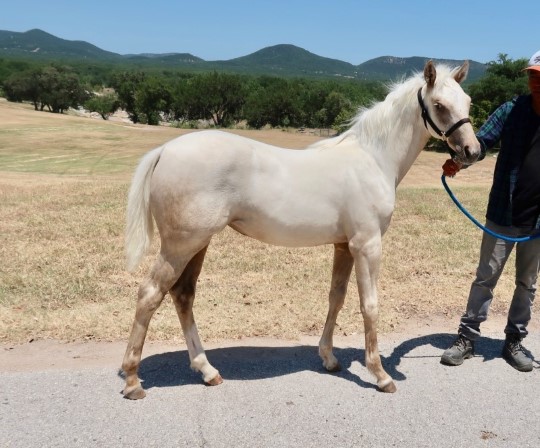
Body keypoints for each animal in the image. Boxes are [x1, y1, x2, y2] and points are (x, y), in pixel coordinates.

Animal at [121, 60, 480, 400]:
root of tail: (165, 151)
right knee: (150, 294)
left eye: (468, 101)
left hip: (198, 243)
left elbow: (336, 297)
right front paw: (380, 375)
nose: (472, 152)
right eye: (439, 105)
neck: (373, 160)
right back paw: (133, 380)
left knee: (183, 295)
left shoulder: (343, 245)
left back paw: (207, 371)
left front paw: (329, 358)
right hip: (180, 246)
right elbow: (370, 305)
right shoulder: (367, 245)